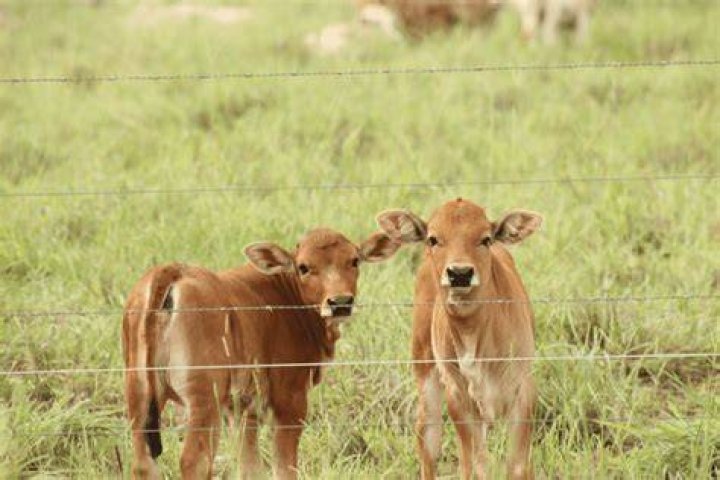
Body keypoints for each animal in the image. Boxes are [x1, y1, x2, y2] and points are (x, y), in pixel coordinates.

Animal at [122, 228, 401, 479]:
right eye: (303, 267)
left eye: (354, 260)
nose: (340, 302)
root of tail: (174, 271)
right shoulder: (290, 401)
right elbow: (284, 469)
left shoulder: (243, 409)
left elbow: (250, 468)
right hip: (204, 400)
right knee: (194, 462)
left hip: (139, 395)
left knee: (142, 464)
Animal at [376, 199, 542, 479]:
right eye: (433, 239)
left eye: (486, 239)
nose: (460, 273)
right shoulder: (458, 397)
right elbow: (474, 466)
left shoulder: (523, 392)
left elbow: (518, 466)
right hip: (425, 372)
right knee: (429, 441)